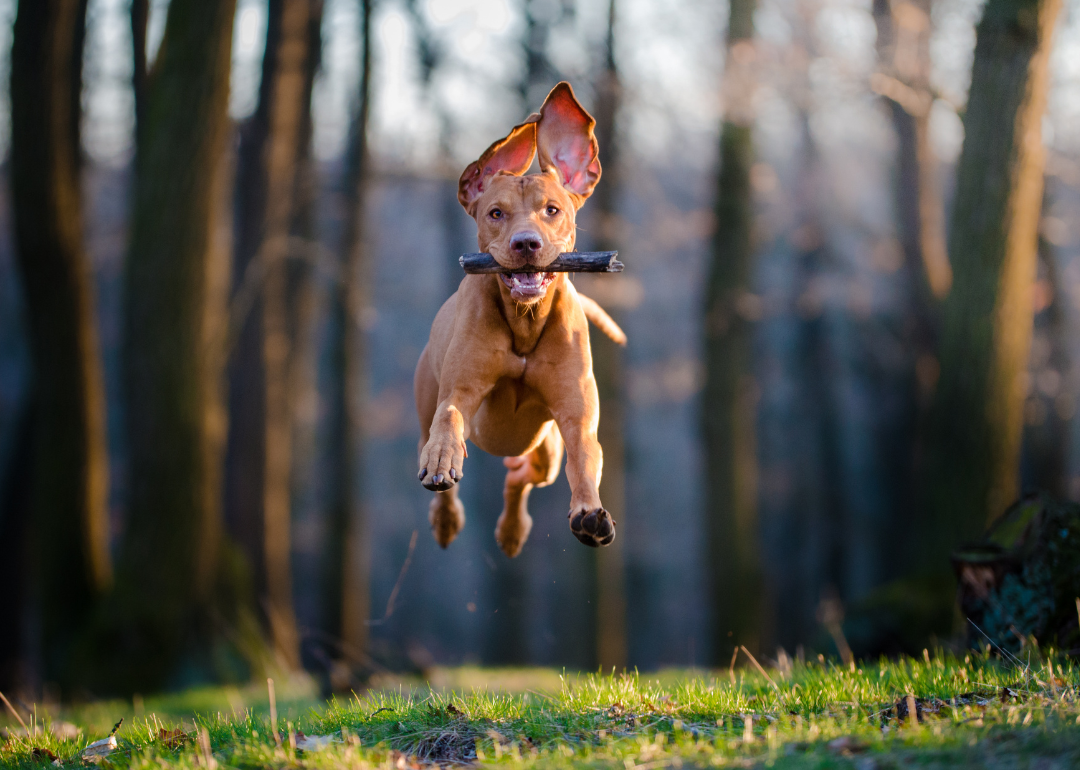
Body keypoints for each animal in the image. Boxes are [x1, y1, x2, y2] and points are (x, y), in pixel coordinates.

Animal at [410, 80, 626, 557]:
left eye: (552, 210)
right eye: (496, 213)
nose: (526, 243)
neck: (525, 321)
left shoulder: (576, 415)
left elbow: (585, 456)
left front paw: (589, 512)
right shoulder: (459, 390)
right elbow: (448, 418)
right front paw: (441, 462)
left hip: (544, 448)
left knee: (522, 475)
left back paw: (512, 528)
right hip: (429, 406)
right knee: (442, 447)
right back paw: (446, 516)